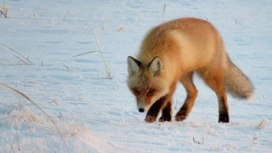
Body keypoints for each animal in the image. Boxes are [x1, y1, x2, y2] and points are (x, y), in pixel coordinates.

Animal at [126, 17, 254, 123]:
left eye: (151, 91)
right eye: (136, 91)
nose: (141, 109)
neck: (159, 46)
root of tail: (215, 30)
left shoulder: (172, 79)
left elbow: (161, 100)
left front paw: (151, 116)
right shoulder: (169, 77)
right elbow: (167, 101)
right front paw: (166, 118)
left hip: (209, 76)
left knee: (222, 93)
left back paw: (224, 118)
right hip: (184, 75)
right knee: (194, 91)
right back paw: (182, 113)